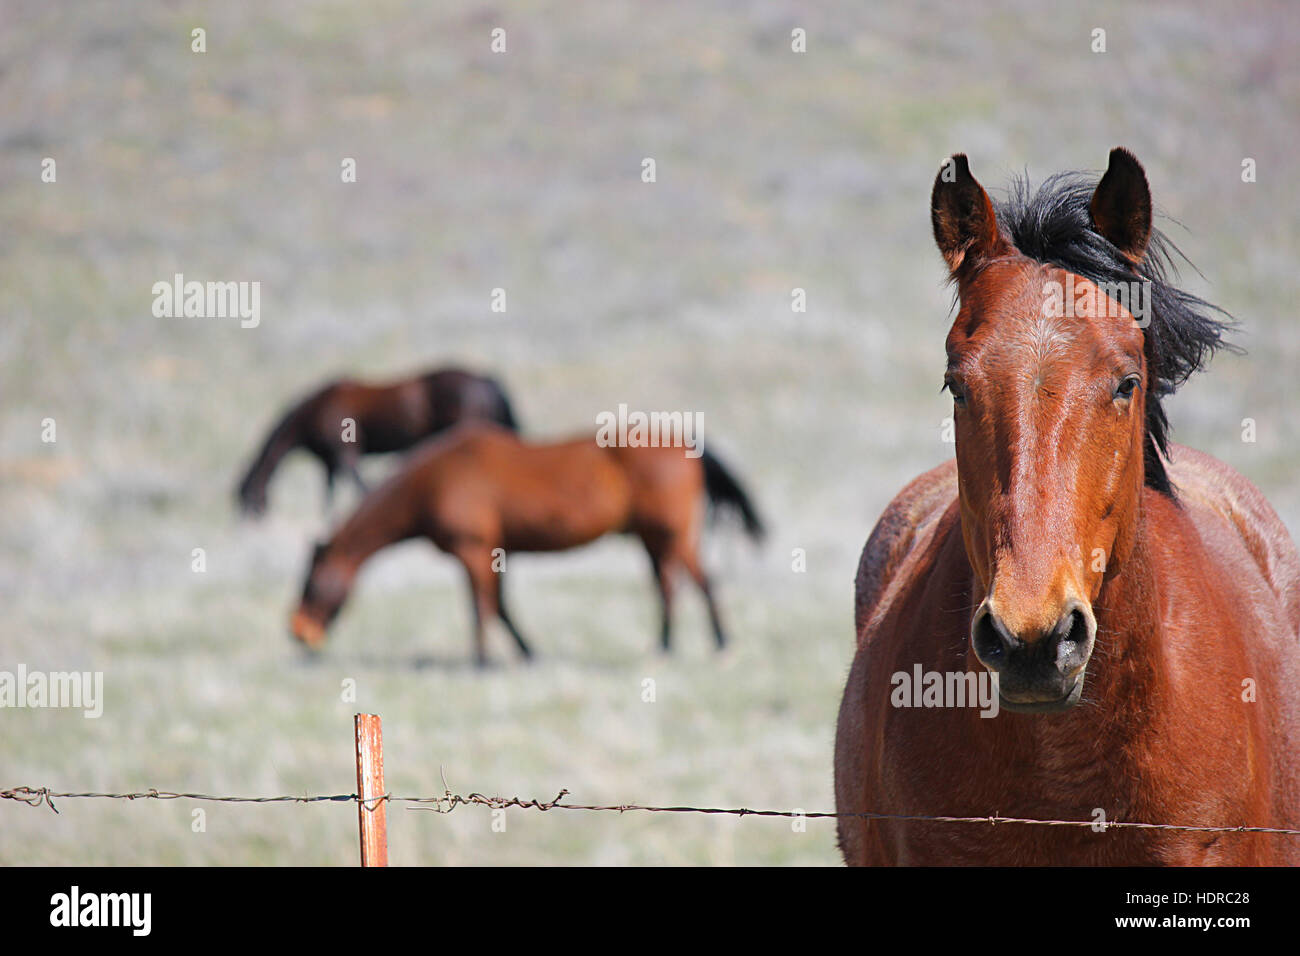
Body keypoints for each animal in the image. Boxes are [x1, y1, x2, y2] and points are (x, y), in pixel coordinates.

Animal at [236, 366, 518, 516]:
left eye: (247, 499)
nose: (249, 528)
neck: (314, 412)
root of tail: (482, 379)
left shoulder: (346, 454)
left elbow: (360, 486)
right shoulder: (330, 462)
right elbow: (329, 493)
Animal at [288, 423, 764, 665]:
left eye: (311, 585)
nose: (297, 633)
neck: (435, 480)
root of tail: (686, 443)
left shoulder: (473, 550)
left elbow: (481, 606)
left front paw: (482, 662)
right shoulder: (498, 552)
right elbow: (500, 605)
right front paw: (527, 653)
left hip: (671, 534)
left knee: (700, 581)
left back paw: (718, 644)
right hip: (653, 537)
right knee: (668, 586)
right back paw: (666, 647)